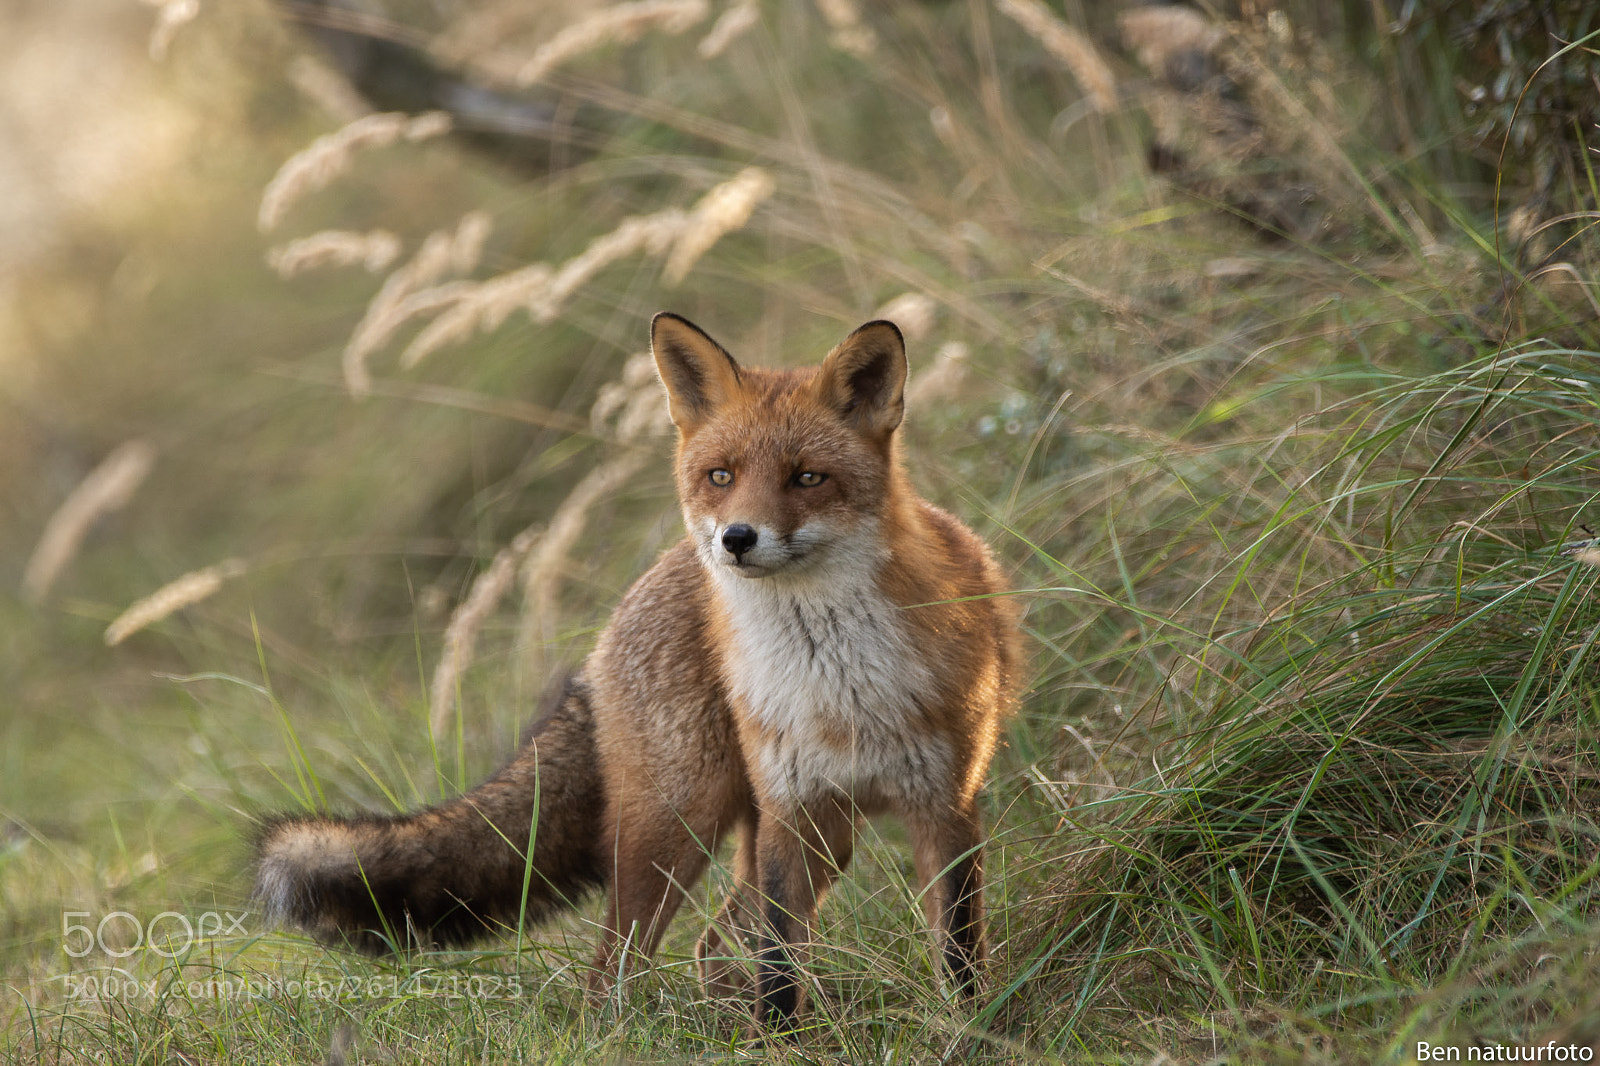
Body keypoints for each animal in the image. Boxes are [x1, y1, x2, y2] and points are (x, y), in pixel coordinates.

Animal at [254, 312, 1021, 1028]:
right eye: (721, 476)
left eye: (808, 477)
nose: (737, 538)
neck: (839, 687)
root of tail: (610, 631)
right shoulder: (790, 811)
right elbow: (778, 967)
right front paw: (781, 1042)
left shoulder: (945, 807)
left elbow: (958, 955)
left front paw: (972, 1033)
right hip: (676, 828)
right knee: (617, 971)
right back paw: (631, 1033)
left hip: (810, 838)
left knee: (713, 946)